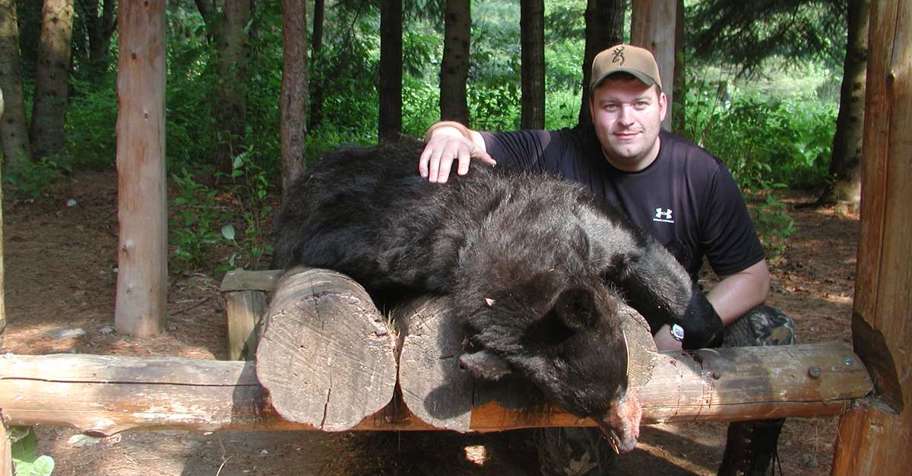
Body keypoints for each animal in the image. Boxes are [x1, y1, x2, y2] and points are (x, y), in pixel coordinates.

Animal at [272, 139, 723, 453]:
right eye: (588, 411)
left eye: (620, 385)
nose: (627, 442)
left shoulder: (584, 219)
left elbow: (650, 262)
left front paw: (709, 331)